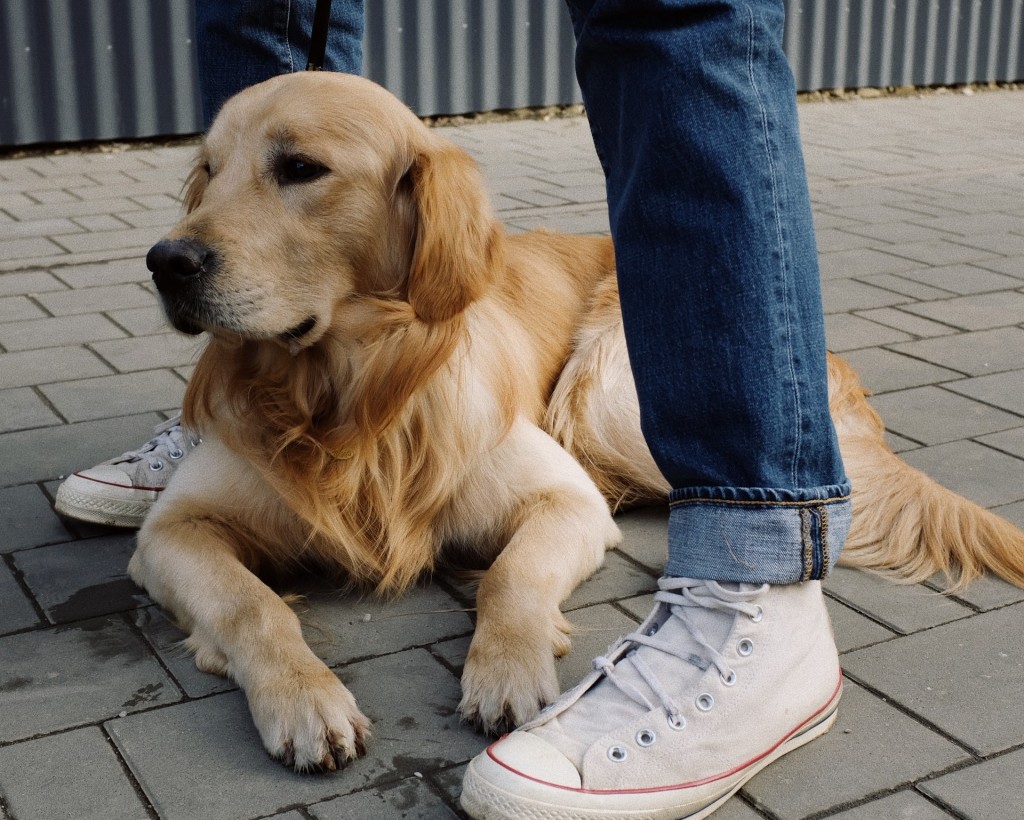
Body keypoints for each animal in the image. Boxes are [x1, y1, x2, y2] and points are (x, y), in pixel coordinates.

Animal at [128, 68, 1024, 769]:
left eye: (300, 168)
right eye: (208, 170)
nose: (165, 262)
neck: (350, 395)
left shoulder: (565, 498)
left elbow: (512, 576)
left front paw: (506, 670)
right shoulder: (174, 531)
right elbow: (252, 605)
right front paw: (305, 699)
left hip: (604, 396)